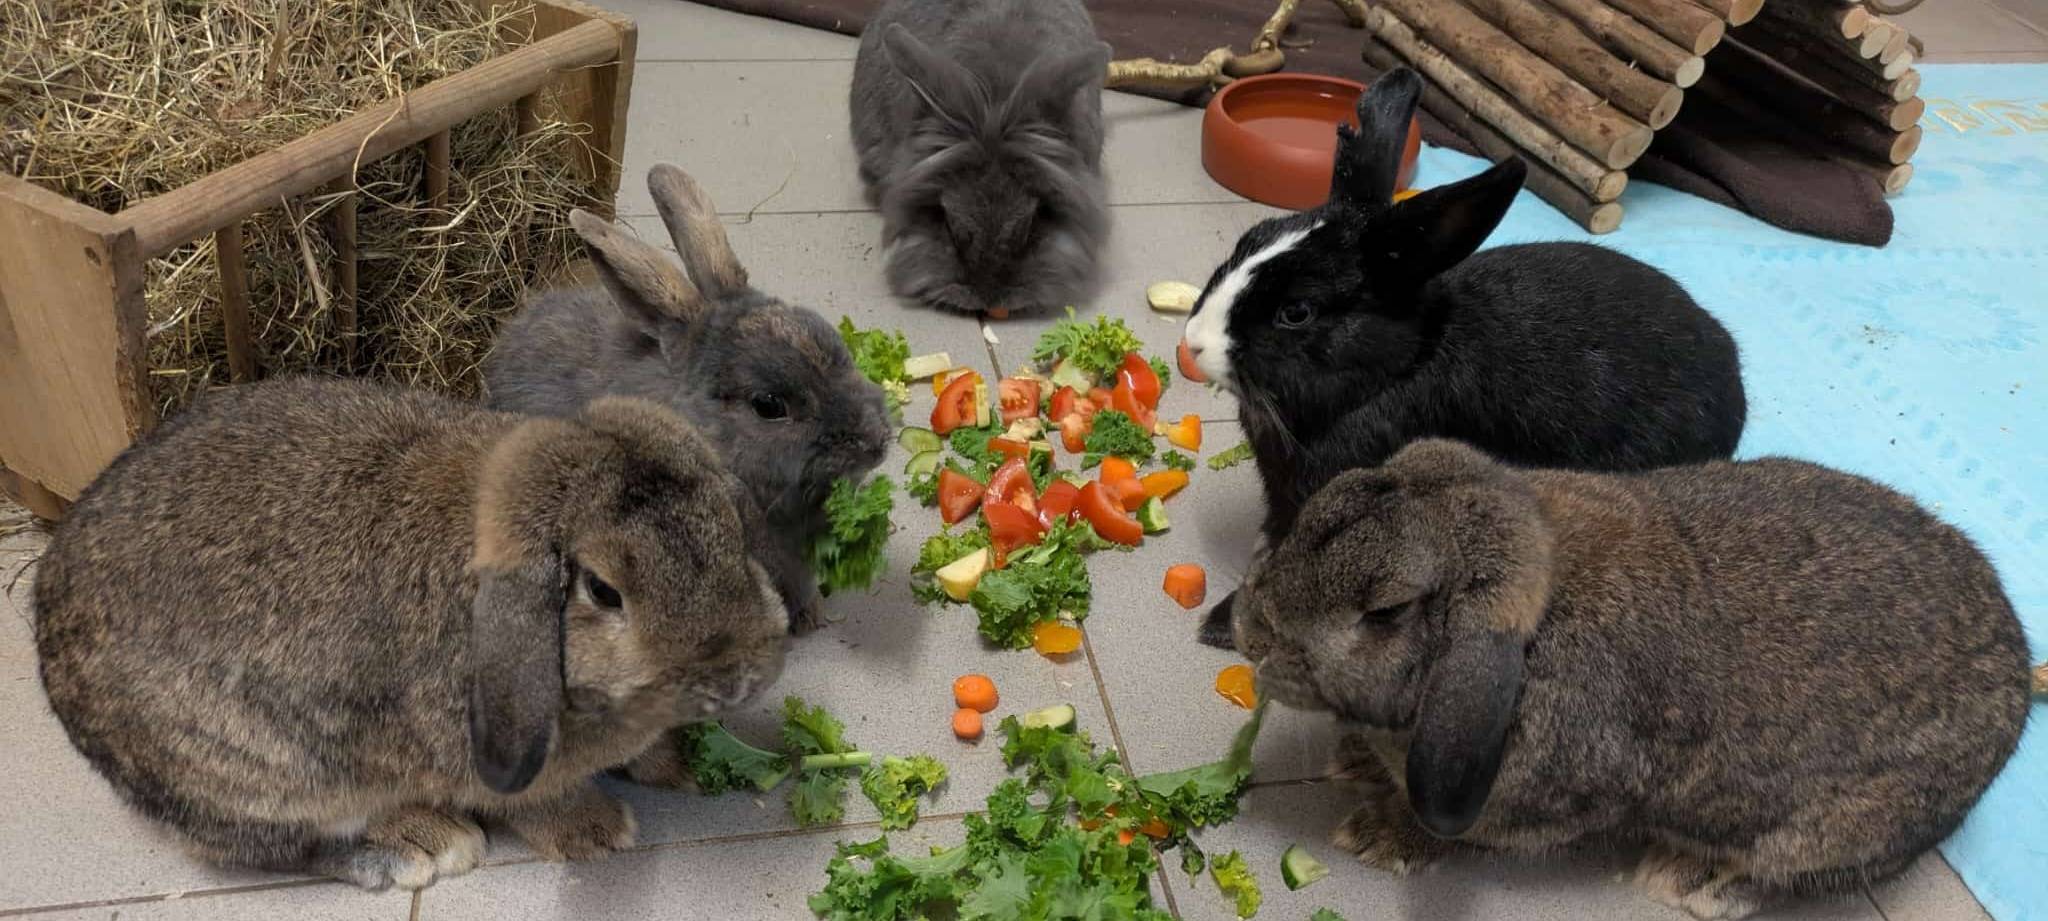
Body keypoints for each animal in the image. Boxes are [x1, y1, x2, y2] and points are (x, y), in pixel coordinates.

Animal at [34, 377, 791, 891]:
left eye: (732, 528)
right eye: (603, 590)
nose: (740, 674)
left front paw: (686, 761)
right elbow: (537, 799)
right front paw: (598, 833)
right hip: (259, 771)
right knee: (288, 843)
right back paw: (425, 846)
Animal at [1183, 66, 1747, 648]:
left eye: (1297, 311)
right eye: (1251, 239)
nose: (1194, 341)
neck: (1397, 367)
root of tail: (1734, 380)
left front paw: (1226, 623)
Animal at [1233, 438, 2034, 919]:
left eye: (1386, 611)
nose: (1249, 627)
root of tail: (2020, 677)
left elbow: (1457, 832)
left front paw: (1380, 836)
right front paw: (1355, 761)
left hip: (1831, 835)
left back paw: (1695, 880)